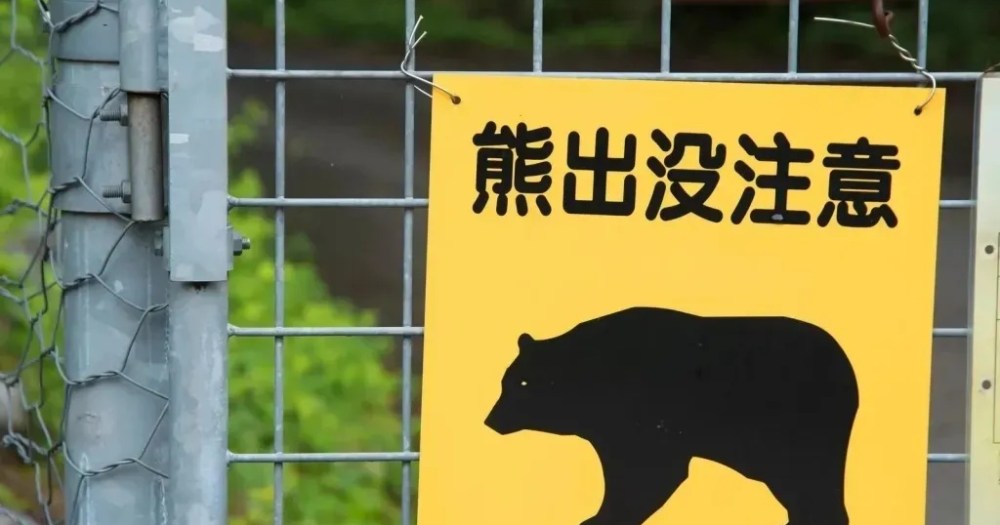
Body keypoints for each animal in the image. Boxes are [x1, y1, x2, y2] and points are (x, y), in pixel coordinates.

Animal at [484, 306, 859, 525]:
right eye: (506, 381)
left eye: (521, 382)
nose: (491, 419)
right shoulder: (609, 428)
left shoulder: (646, 416)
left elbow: (652, 472)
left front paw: (602, 517)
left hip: (798, 427)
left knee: (810, 483)